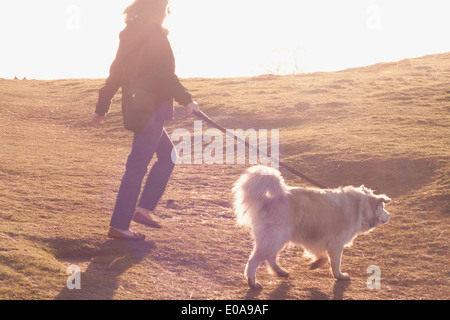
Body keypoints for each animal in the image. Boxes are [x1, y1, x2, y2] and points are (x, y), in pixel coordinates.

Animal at [232, 166, 390, 288]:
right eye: (383, 207)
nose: (389, 216)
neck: (359, 207)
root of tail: (268, 200)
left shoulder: (320, 241)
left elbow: (323, 257)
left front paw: (315, 263)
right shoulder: (336, 243)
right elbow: (335, 263)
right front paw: (339, 275)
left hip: (278, 239)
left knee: (270, 258)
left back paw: (280, 272)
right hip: (274, 238)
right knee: (254, 261)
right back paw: (252, 282)